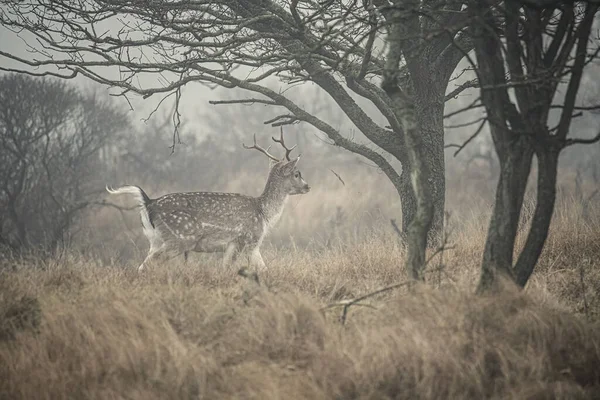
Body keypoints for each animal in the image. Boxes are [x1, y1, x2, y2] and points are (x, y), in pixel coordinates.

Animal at [105, 130, 310, 274]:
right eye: (296, 173)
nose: (308, 186)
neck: (263, 213)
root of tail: (148, 202)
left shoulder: (252, 245)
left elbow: (263, 269)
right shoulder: (244, 238)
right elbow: (228, 269)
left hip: (154, 239)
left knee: (144, 263)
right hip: (180, 238)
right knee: (147, 264)